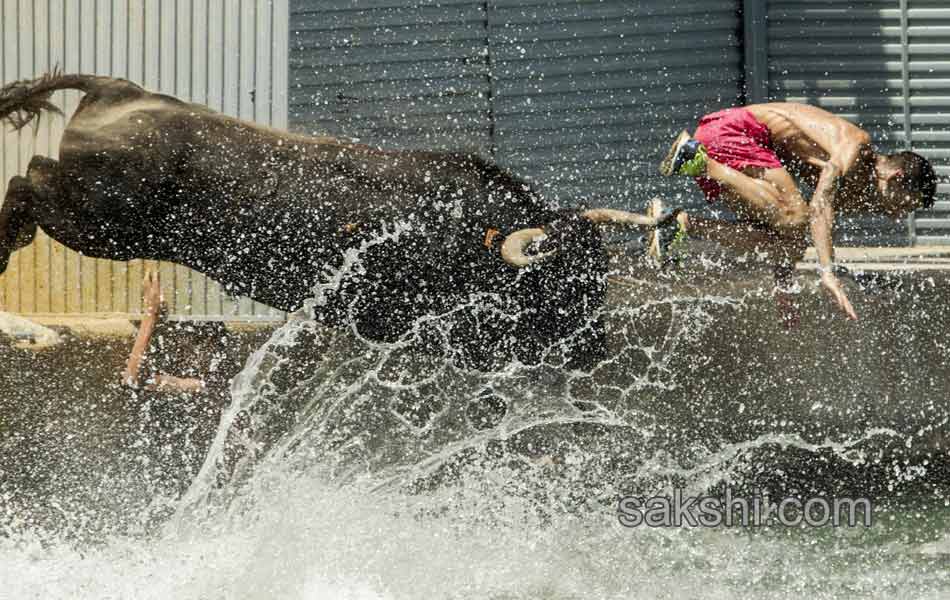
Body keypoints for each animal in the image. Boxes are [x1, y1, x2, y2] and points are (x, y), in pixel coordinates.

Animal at [0, 73, 660, 368]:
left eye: (600, 268)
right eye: (561, 277)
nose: (596, 348)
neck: (464, 227)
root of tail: (117, 91)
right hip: (99, 224)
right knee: (25, 182)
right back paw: (6, 243)